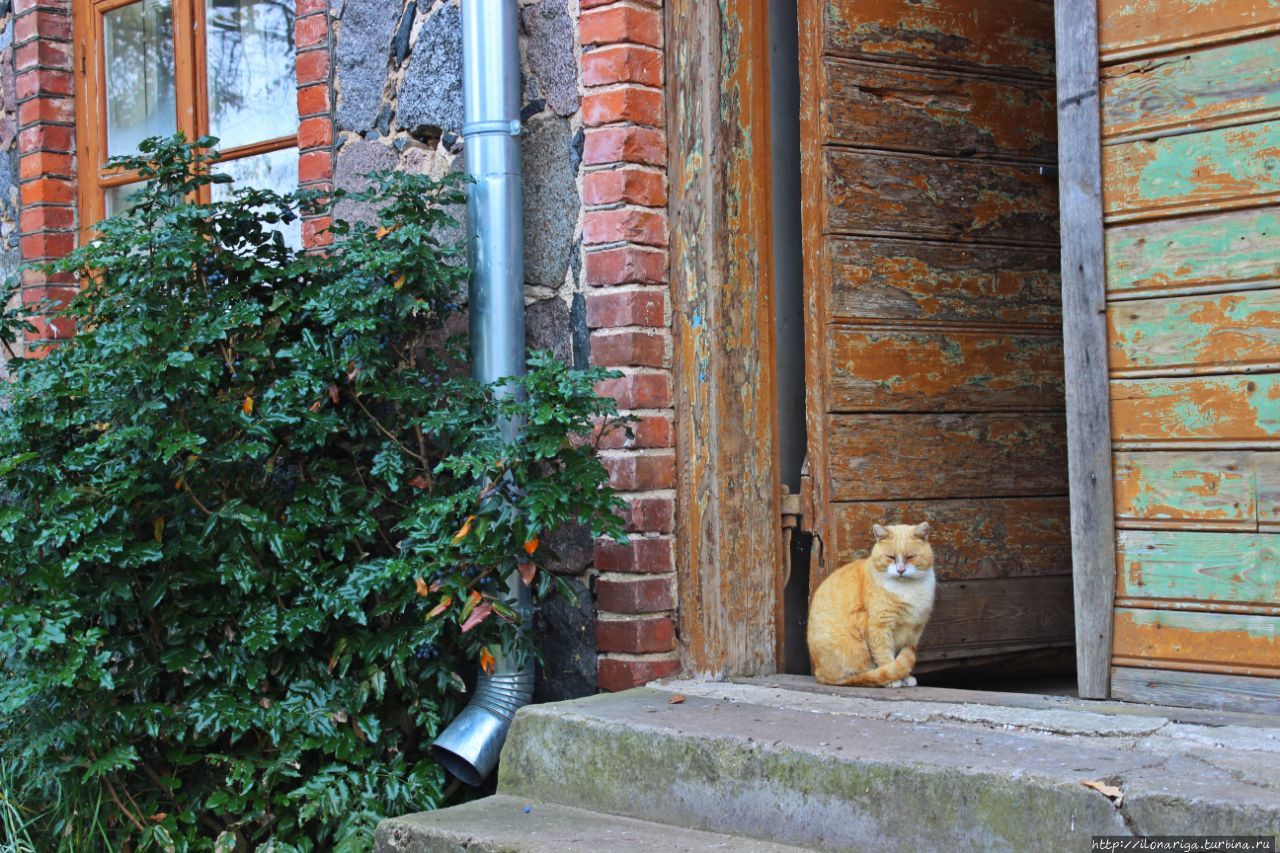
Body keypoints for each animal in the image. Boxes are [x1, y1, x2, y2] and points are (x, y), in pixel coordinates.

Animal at [803, 517, 936, 686]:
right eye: (891, 557)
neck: (906, 589)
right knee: (860, 675)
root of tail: (820, 674)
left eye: (910, 557)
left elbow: (901, 657)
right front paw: (894, 680)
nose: (900, 570)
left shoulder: (912, 632)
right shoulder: (880, 628)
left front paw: (905, 678)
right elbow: (886, 657)